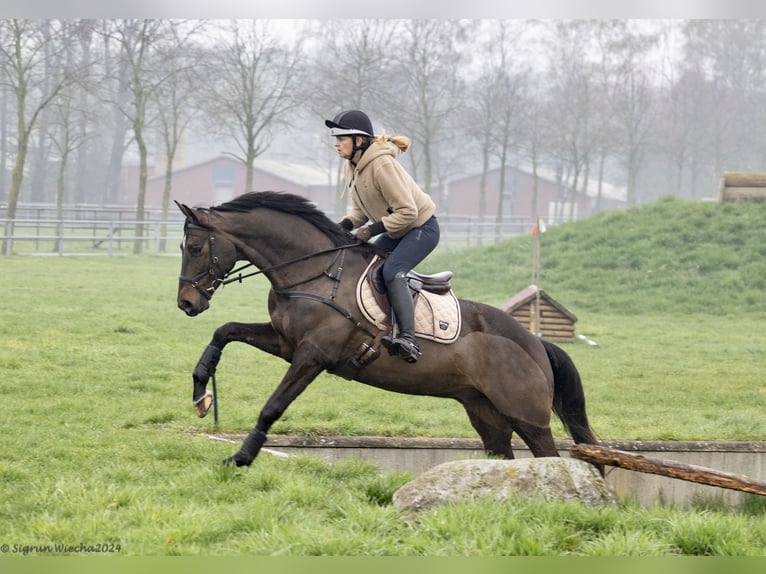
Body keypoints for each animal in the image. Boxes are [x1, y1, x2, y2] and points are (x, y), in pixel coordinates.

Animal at [177, 192, 604, 472]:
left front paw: (241, 457)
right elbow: (224, 331)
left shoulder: (312, 355)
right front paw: (201, 394)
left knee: (549, 457)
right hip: (487, 415)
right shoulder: (284, 342)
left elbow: (273, 406)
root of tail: (537, 344)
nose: (186, 304)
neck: (313, 273)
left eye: (195, 247)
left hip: (526, 416)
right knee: (504, 458)